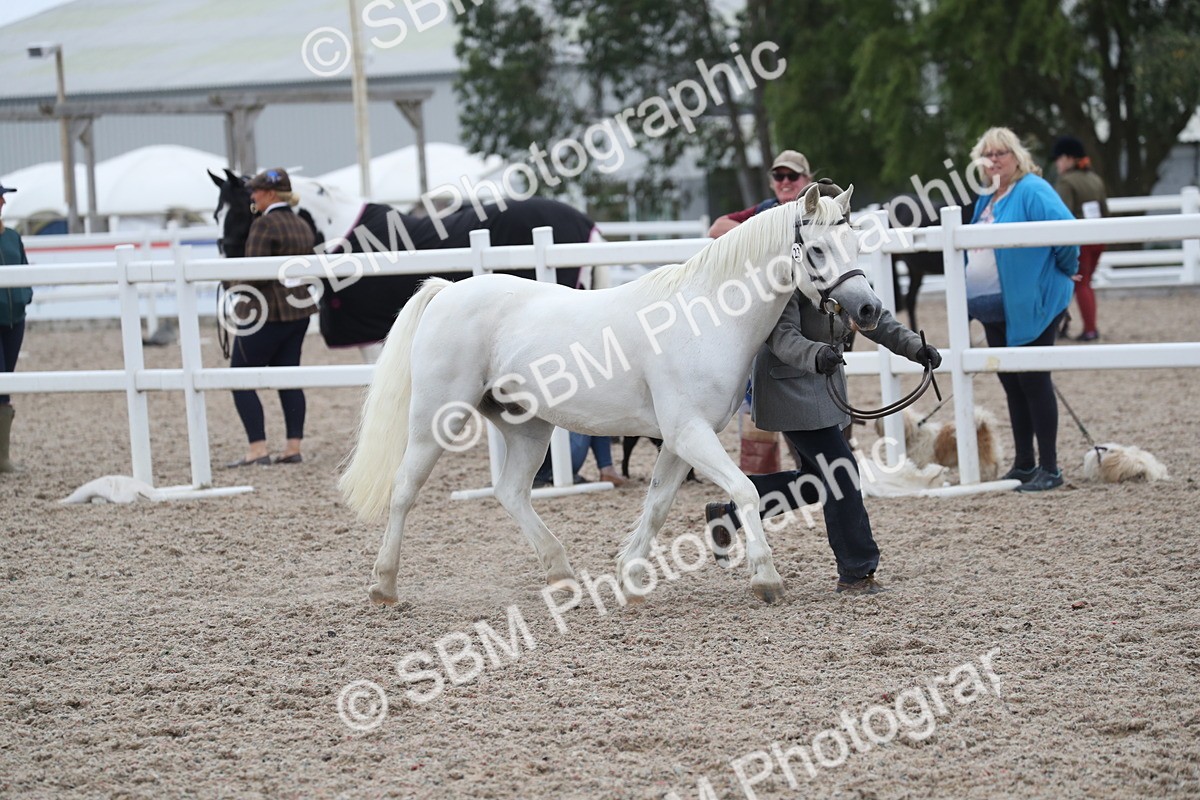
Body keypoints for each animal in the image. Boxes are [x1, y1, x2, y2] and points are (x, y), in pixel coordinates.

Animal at [338, 182, 884, 606]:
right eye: (816, 250)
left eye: (854, 243)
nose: (869, 309)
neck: (705, 317)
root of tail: (446, 291)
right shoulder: (690, 434)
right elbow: (746, 490)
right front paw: (766, 578)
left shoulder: (681, 440)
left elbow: (658, 502)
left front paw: (631, 575)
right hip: (435, 420)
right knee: (404, 488)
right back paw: (384, 585)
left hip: (527, 425)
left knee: (511, 492)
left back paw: (560, 573)